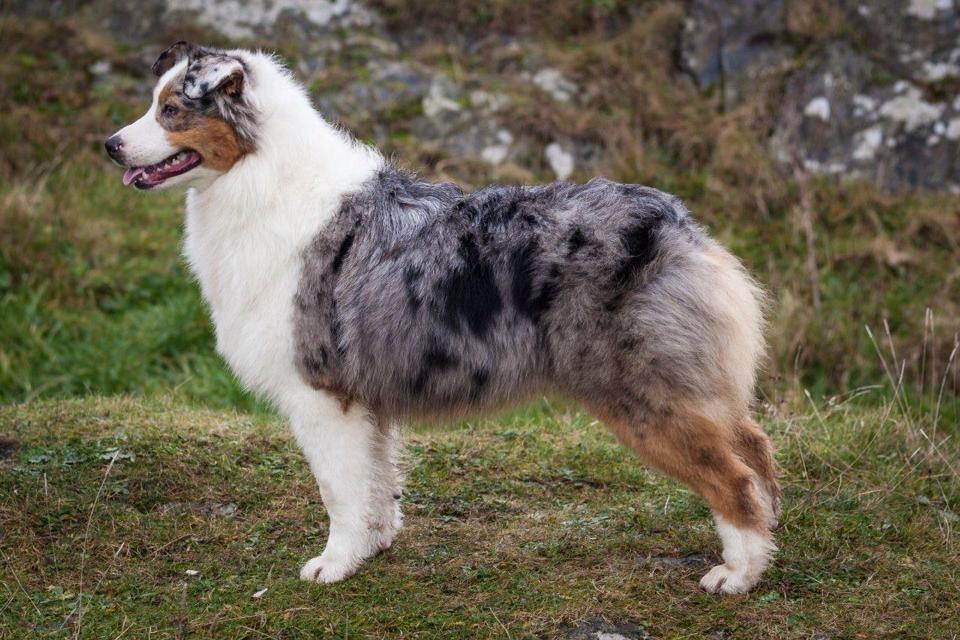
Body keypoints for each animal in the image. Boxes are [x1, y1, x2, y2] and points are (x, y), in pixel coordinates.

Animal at [107, 42, 780, 596]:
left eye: (171, 109)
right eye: (154, 102)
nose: (110, 145)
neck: (260, 176)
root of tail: (675, 224)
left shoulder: (322, 394)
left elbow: (338, 490)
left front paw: (333, 565)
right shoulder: (365, 399)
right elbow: (375, 483)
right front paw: (373, 547)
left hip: (640, 391)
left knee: (733, 478)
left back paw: (738, 574)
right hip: (692, 377)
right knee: (754, 444)